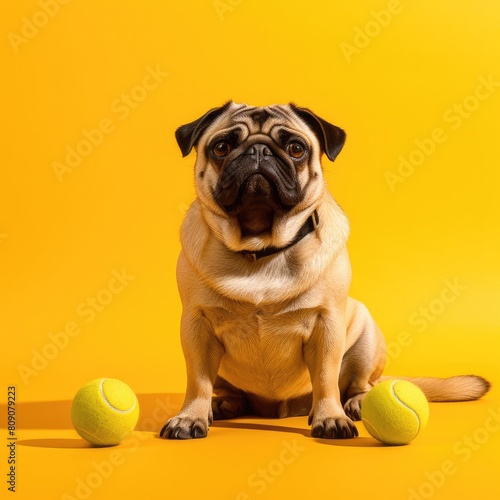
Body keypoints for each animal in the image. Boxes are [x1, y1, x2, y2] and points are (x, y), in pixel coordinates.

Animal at [161, 101, 492, 438]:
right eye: (222, 147)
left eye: (296, 149)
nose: (258, 150)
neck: (262, 247)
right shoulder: (196, 326)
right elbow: (198, 381)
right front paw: (190, 416)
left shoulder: (326, 324)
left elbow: (325, 378)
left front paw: (330, 417)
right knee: (227, 390)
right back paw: (224, 404)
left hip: (365, 338)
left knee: (361, 383)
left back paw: (358, 403)